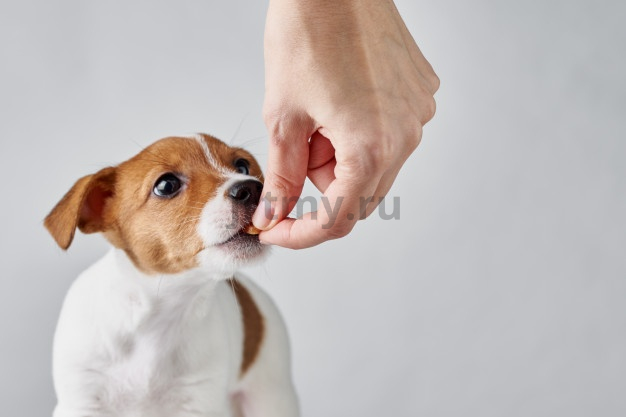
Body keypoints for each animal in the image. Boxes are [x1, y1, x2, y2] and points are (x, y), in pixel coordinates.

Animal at [44, 133, 298, 416]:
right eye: (166, 185)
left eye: (242, 166)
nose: (254, 188)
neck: (161, 317)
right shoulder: (82, 401)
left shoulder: (199, 403)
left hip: (271, 396)